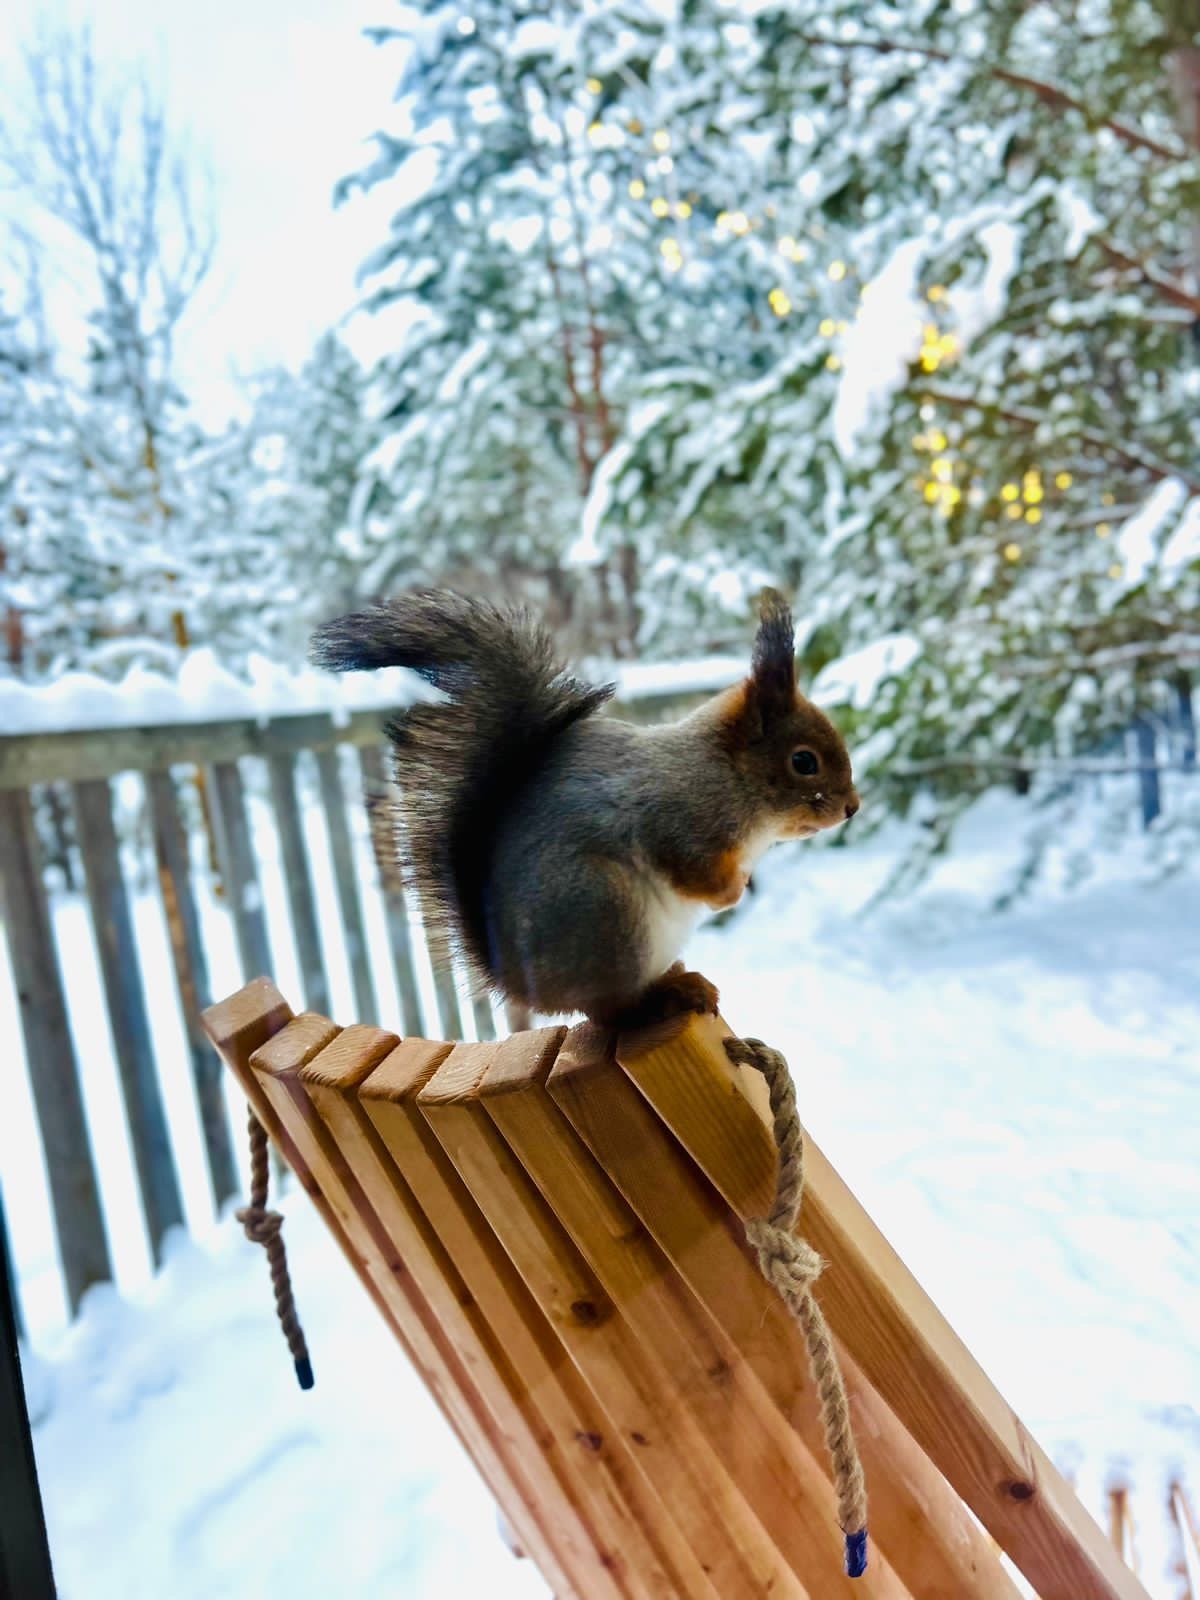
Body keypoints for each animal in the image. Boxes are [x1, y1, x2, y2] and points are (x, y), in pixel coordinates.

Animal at [310, 587, 859, 1029]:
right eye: (804, 761)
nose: (852, 808)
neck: (727, 774)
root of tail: (523, 985)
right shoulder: (678, 820)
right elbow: (691, 871)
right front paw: (730, 893)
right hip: (605, 909)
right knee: (609, 1010)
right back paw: (670, 992)